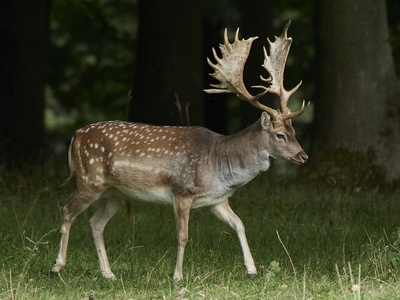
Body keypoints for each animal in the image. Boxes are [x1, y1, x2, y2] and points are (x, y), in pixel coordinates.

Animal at [51, 21, 310, 282]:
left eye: (294, 131)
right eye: (280, 135)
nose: (303, 156)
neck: (218, 165)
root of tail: (75, 135)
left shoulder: (216, 200)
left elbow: (240, 224)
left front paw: (252, 271)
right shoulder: (182, 191)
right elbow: (183, 235)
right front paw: (177, 276)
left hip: (115, 193)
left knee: (95, 223)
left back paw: (108, 273)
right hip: (89, 180)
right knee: (67, 210)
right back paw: (57, 267)